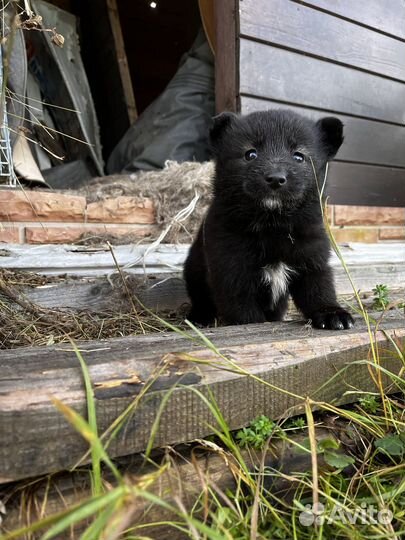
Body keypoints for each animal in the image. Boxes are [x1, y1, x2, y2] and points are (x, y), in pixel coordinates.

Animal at [183, 108, 354, 330]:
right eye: (250, 154)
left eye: (299, 156)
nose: (275, 178)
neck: (273, 226)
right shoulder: (231, 271)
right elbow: (246, 314)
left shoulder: (312, 259)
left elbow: (319, 290)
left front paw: (332, 314)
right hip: (194, 271)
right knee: (200, 298)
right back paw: (199, 317)